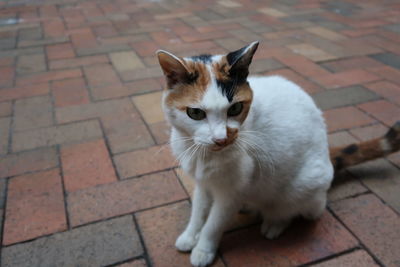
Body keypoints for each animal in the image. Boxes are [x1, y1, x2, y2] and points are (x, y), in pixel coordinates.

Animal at [155, 42, 400, 267]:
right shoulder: (203, 183)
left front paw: (203, 250)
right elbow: (198, 211)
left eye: (235, 109)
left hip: (304, 186)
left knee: (301, 209)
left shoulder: (231, 193)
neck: (203, 154)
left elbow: (214, 224)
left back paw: (275, 223)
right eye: (195, 113)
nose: (221, 139)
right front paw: (189, 236)